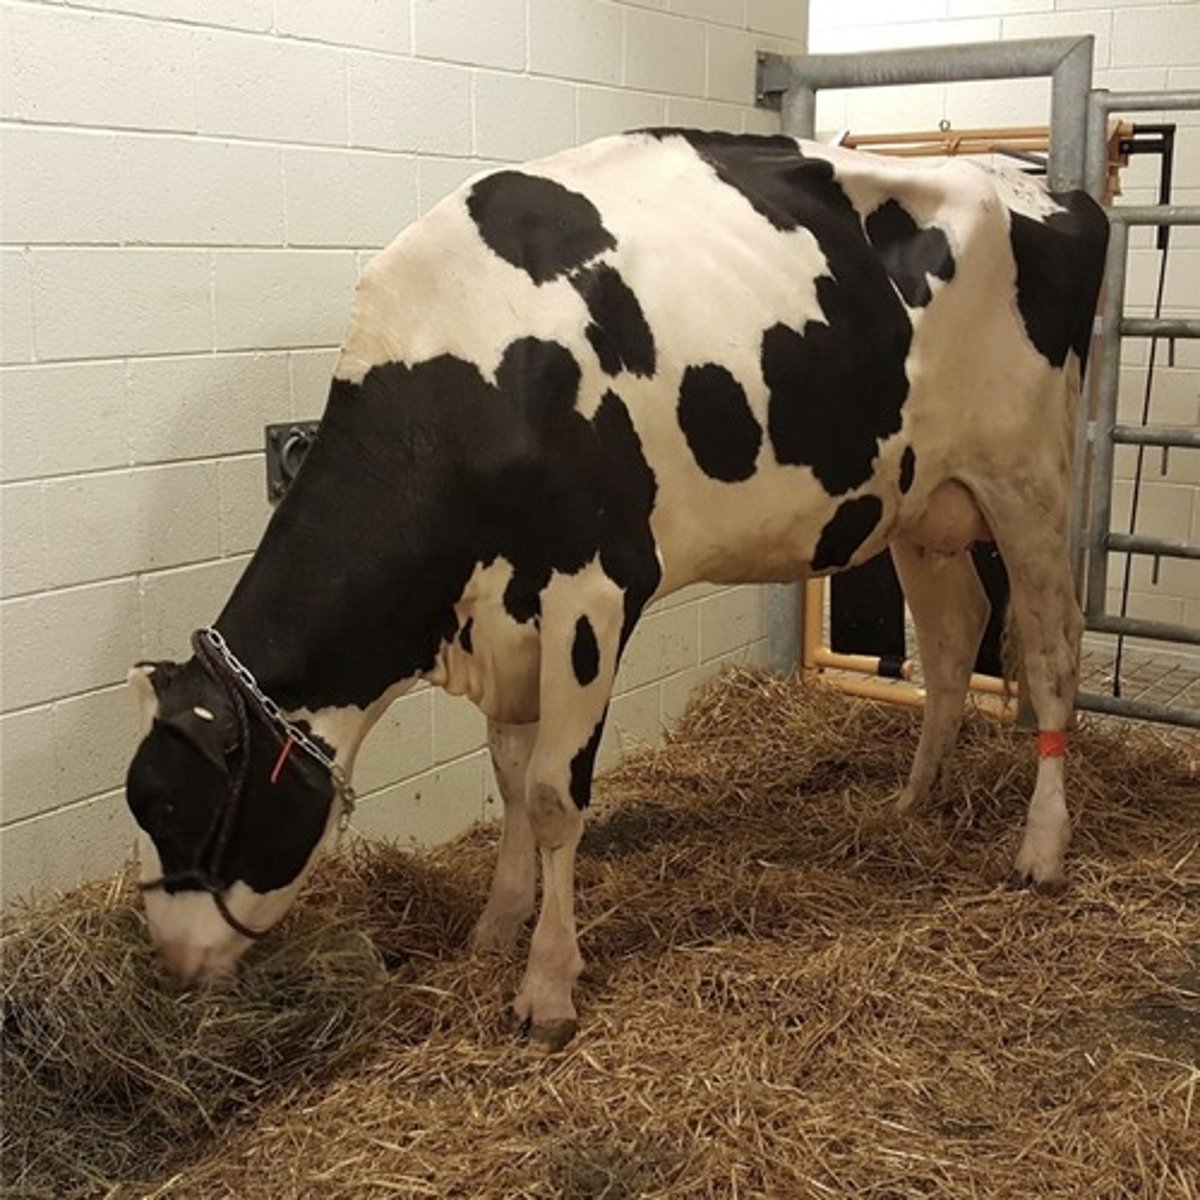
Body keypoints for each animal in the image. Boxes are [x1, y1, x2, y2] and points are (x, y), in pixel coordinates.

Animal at [125, 130, 1108, 1048]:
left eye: (173, 803)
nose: (173, 965)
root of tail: (1040, 183)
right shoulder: (505, 618)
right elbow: (511, 779)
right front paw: (497, 923)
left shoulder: (592, 592)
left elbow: (556, 798)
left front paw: (547, 985)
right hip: (920, 502)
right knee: (952, 641)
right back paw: (913, 801)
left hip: (1028, 479)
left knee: (1053, 651)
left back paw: (1041, 848)